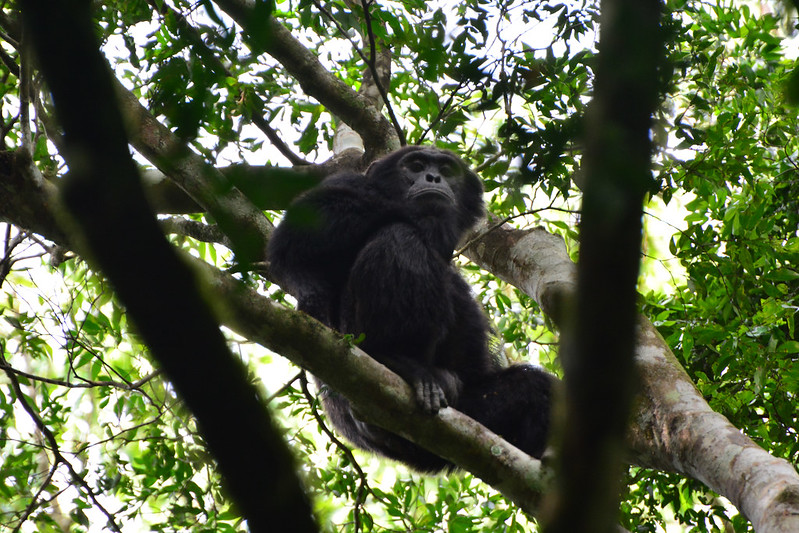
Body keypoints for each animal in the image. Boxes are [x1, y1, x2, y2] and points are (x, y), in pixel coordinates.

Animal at [268, 145, 556, 470]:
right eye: (416, 166)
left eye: (446, 170)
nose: (432, 178)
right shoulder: (347, 184)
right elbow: (294, 245)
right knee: (401, 238)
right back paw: (394, 359)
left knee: (534, 387)